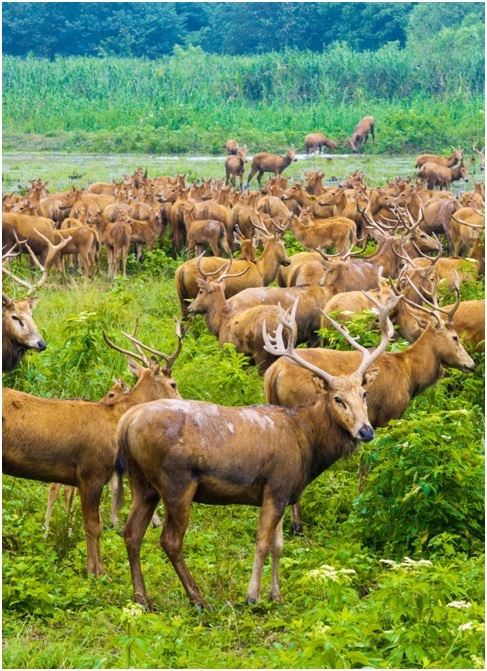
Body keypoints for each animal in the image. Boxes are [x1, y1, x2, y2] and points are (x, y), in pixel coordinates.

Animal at [3, 320, 183, 576]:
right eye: (173, 383)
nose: (183, 401)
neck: (115, 422)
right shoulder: (91, 472)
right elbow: (92, 525)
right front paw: (95, 572)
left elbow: (96, 522)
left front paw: (99, 570)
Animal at [116, 296, 398, 612]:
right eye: (338, 399)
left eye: (363, 394)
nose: (366, 431)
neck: (307, 444)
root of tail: (126, 422)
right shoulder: (277, 485)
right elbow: (262, 542)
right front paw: (252, 596)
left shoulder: (283, 492)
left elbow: (278, 545)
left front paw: (278, 596)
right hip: (177, 482)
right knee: (170, 540)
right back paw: (198, 599)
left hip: (142, 482)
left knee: (131, 532)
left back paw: (142, 598)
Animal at [264, 286, 478, 532]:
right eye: (455, 337)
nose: (472, 364)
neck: (408, 375)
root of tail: (273, 373)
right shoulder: (387, 417)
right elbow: (375, 461)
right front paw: (368, 501)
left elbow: (364, 462)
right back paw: (297, 525)